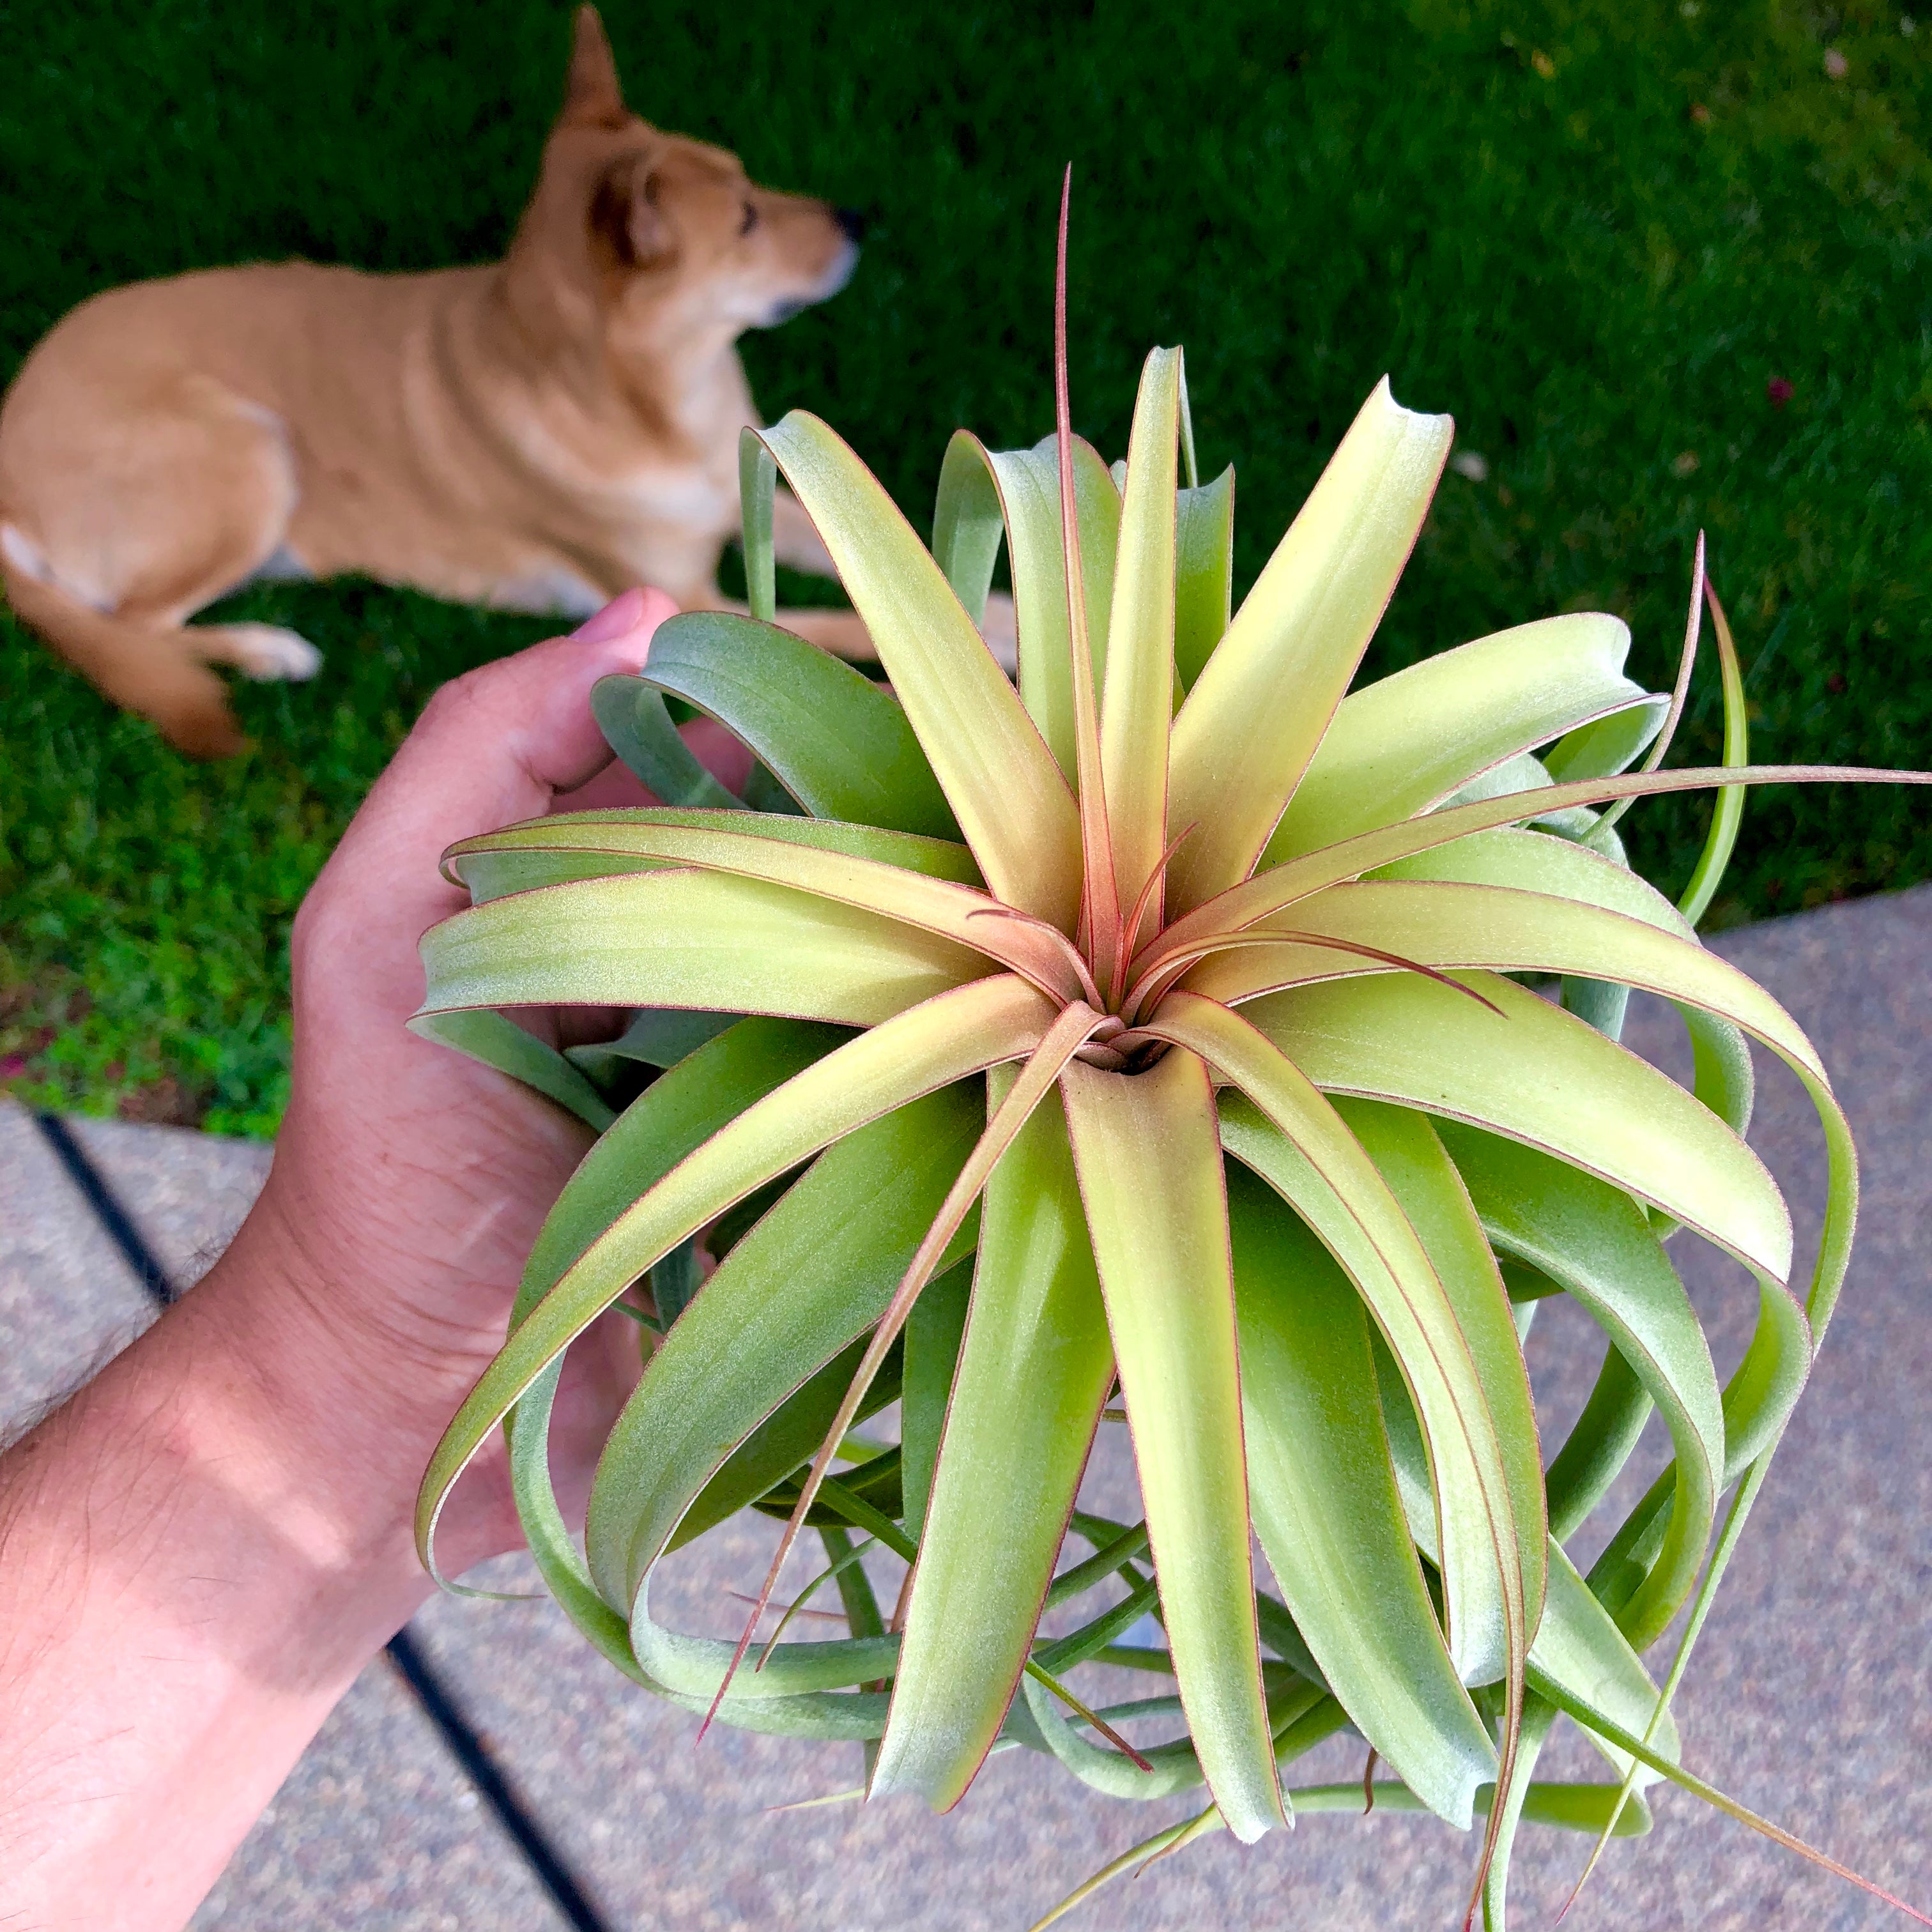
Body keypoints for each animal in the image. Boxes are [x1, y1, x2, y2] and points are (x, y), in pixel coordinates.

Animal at [0, 11, 904, 757]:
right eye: (746, 220)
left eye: (752, 185)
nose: (860, 221)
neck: (660, 407)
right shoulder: (687, 601)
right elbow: (835, 629)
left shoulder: (759, 490)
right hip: (250, 451)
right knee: (134, 625)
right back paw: (268, 649)